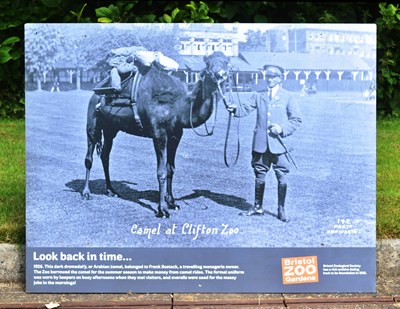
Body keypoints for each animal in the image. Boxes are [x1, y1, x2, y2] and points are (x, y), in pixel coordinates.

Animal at [82, 50, 230, 217]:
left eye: (226, 62)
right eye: (208, 63)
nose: (220, 74)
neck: (178, 106)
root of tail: (96, 92)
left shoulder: (175, 135)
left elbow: (170, 169)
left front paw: (172, 202)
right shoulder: (158, 134)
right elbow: (161, 172)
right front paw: (162, 209)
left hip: (111, 128)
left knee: (105, 155)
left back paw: (111, 190)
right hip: (93, 122)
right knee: (89, 156)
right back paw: (86, 192)